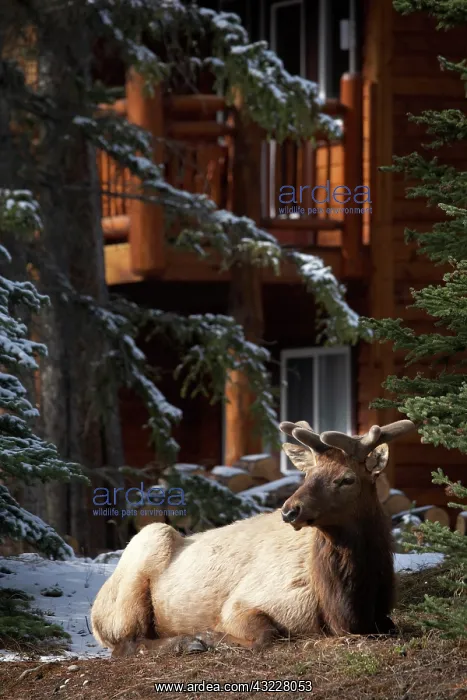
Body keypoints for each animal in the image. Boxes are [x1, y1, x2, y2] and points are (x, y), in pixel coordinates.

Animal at [91, 419, 415, 657]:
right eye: (308, 474)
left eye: (347, 479)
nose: (290, 510)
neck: (347, 607)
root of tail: (94, 614)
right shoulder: (243, 604)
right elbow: (266, 637)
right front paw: (208, 636)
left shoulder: (382, 616)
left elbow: (393, 626)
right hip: (140, 564)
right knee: (126, 644)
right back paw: (187, 642)